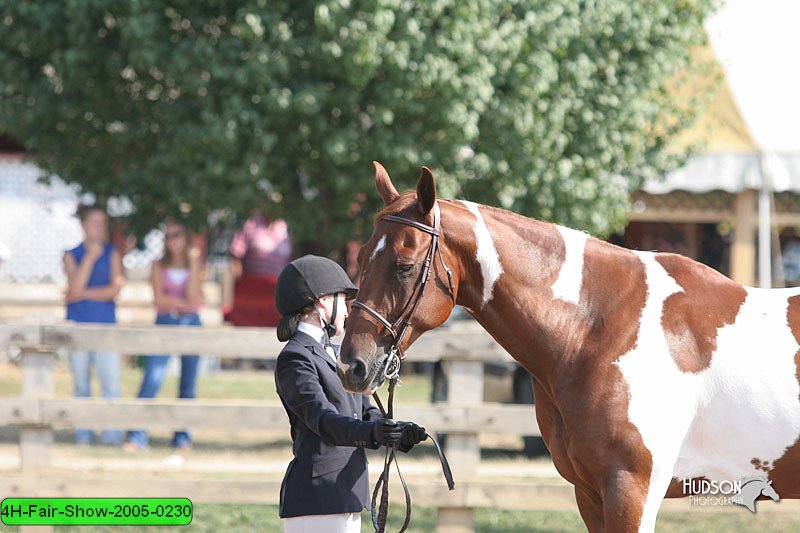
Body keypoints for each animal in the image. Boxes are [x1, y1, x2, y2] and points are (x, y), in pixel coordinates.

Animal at [338, 162, 800, 532]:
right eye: (359, 257)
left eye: (404, 266)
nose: (352, 366)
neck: (597, 329)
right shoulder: (591, 494)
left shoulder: (633, 490)